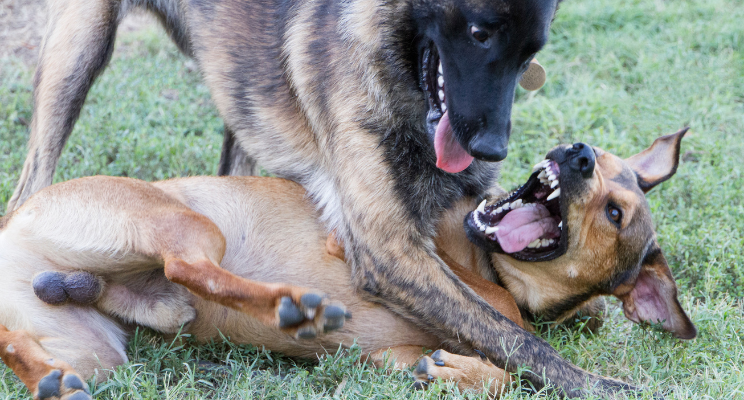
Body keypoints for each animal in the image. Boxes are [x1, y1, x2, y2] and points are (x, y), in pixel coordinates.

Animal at [1, 130, 696, 398]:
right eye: (601, 161)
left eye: (615, 212)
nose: (578, 153)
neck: (498, 272)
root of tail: (15, 229)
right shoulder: (374, 240)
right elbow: (516, 359)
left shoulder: (387, 356)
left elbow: (494, 368)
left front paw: (457, 371)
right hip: (187, 224)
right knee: (185, 267)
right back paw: (288, 305)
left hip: (93, 352)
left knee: (27, 350)